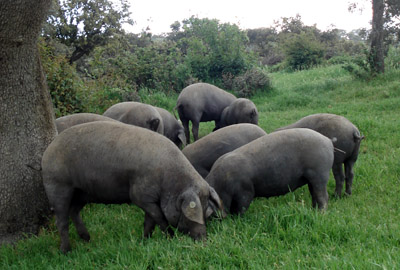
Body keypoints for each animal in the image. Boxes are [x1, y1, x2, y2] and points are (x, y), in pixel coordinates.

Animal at [41, 122, 223, 253]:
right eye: (194, 214)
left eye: (208, 213)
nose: (204, 240)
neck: (169, 180)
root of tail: (48, 150)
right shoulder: (140, 195)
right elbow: (159, 218)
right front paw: (170, 238)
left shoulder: (150, 199)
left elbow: (149, 221)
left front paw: (144, 240)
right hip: (57, 185)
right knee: (61, 220)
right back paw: (66, 251)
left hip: (82, 192)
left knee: (74, 211)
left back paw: (87, 239)